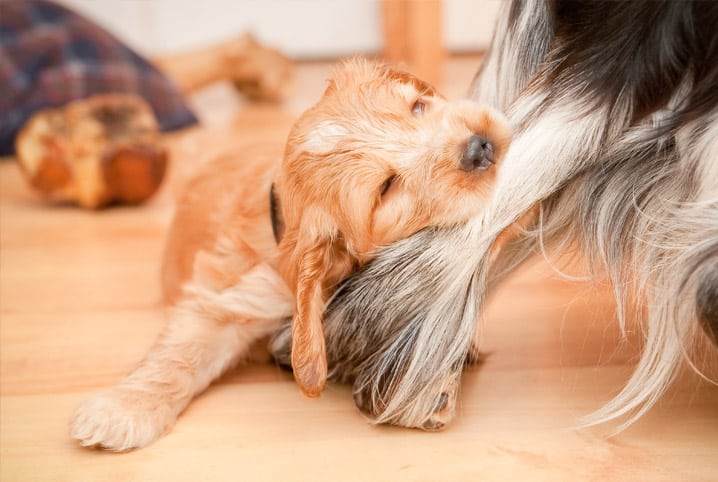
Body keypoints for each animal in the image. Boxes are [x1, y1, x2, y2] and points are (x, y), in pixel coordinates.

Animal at [69, 58, 512, 450]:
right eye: (387, 187)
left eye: (418, 107)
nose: (479, 146)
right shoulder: (230, 297)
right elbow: (180, 355)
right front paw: (121, 410)